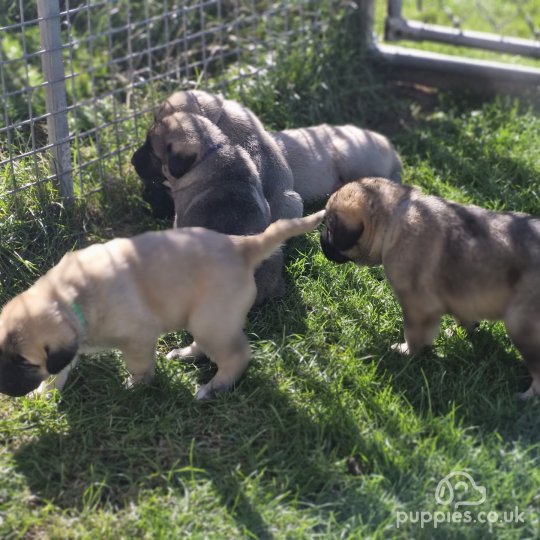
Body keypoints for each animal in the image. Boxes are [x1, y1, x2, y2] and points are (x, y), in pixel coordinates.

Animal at [0, 211, 324, 400]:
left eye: (25, 362)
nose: (3, 387)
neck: (69, 297)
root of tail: (243, 246)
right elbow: (61, 369)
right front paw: (47, 391)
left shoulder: (138, 339)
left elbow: (139, 367)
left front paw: (136, 387)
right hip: (204, 320)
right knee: (208, 346)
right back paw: (185, 354)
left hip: (211, 321)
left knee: (237, 356)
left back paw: (213, 388)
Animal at [318, 175, 540, 398]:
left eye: (329, 229)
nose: (321, 240)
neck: (393, 219)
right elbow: (464, 314)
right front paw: (468, 328)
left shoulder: (417, 306)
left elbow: (414, 334)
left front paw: (408, 352)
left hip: (521, 326)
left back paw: (526, 396)